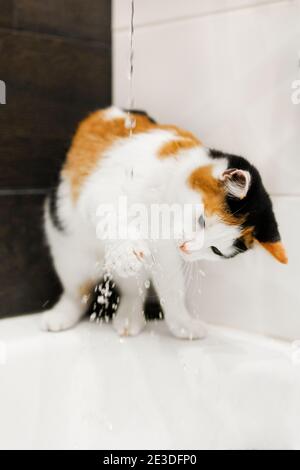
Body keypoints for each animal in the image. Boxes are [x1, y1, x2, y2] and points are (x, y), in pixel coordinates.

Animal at [41, 107, 288, 340]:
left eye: (216, 250)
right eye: (201, 220)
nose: (186, 247)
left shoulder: (166, 254)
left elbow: (173, 289)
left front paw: (183, 325)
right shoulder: (101, 192)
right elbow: (113, 214)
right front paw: (128, 252)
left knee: (133, 290)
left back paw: (129, 318)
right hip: (70, 255)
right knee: (77, 291)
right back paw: (60, 315)